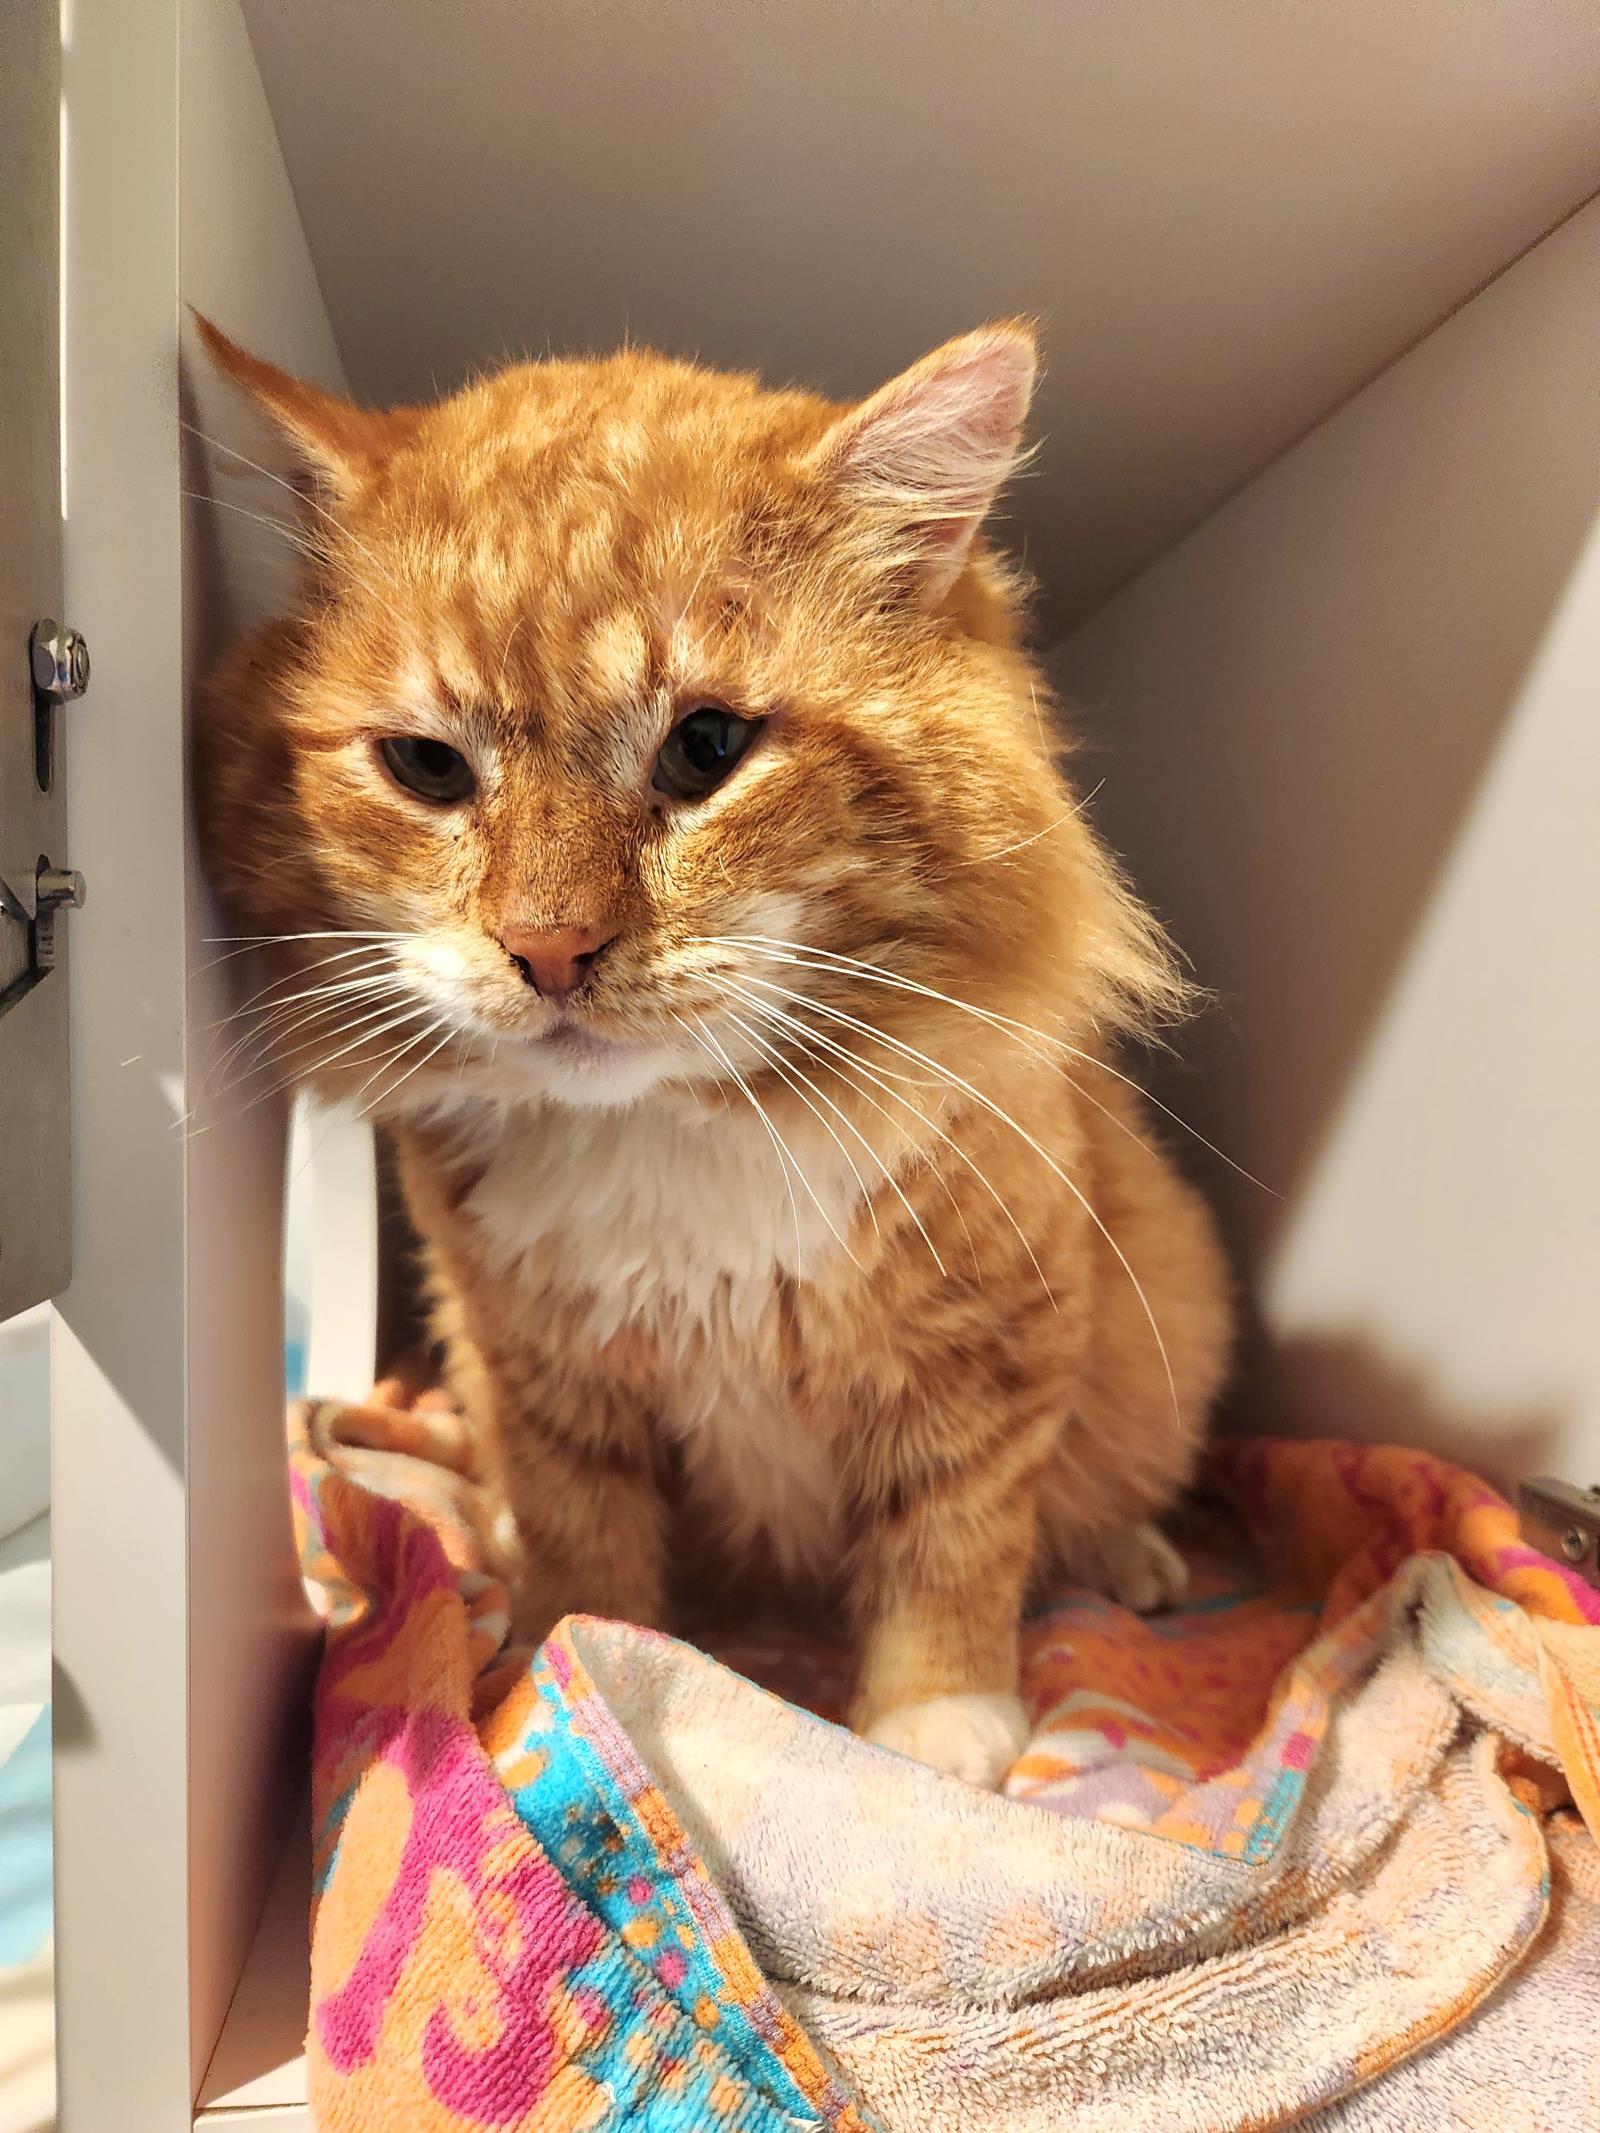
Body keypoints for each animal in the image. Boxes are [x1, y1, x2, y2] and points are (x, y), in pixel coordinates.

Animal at [197, 315, 1228, 1783]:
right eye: (427, 769)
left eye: (706, 748)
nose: (550, 948)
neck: (669, 1140)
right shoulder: (540, 1383)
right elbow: (583, 1547)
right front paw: (553, 1671)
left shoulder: (992, 1348)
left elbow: (953, 1542)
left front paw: (937, 1729)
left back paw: (1137, 1561)